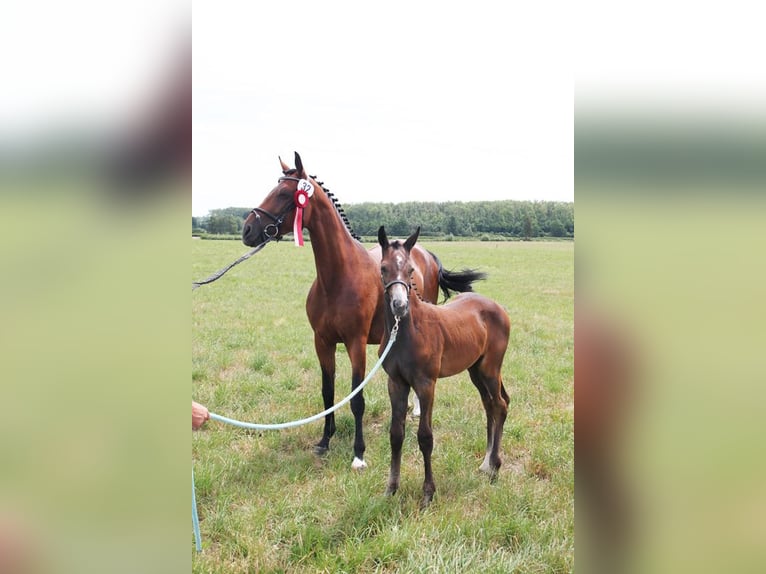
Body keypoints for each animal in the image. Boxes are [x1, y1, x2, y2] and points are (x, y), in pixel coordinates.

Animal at [241, 152, 485, 470]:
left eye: (284, 194)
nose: (247, 229)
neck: (338, 278)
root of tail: (426, 253)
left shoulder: (356, 343)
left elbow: (357, 399)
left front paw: (358, 453)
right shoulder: (322, 342)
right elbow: (328, 392)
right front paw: (325, 440)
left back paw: (416, 409)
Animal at [377, 225, 511, 507]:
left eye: (410, 270)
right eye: (383, 268)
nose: (399, 306)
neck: (407, 330)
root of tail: (498, 308)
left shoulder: (426, 384)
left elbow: (425, 437)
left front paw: (428, 493)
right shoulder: (396, 383)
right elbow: (396, 434)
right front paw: (391, 488)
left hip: (491, 369)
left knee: (500, 405)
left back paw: (495, 467)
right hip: (475, 370)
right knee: (489, 406)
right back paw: (486, 463)